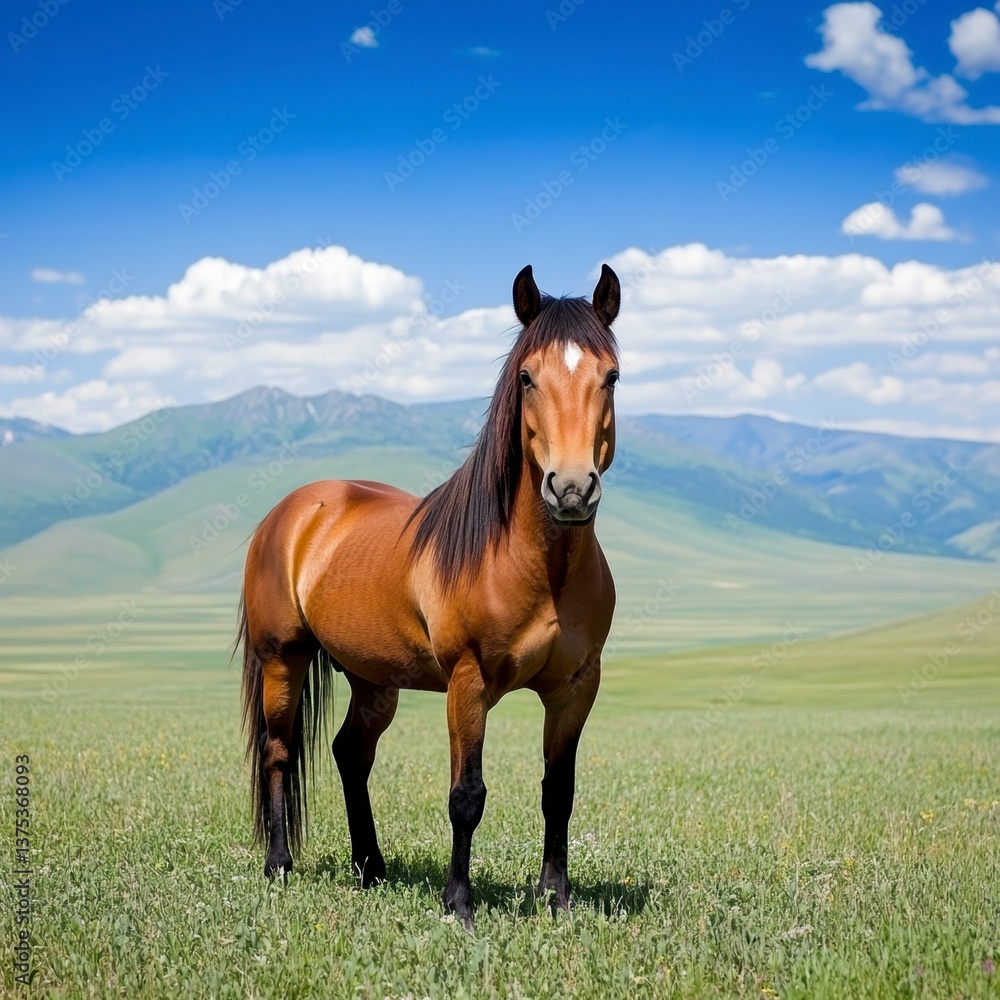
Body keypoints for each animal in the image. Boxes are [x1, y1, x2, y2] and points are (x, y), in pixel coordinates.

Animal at [238, 263, 621, 927]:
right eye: (527, 377)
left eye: (612, 376)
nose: (571, 490)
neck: (537, 568)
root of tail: (289, 513)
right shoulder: (467, 683)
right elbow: (466, 795)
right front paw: (458, 904)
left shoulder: (576, 688)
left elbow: (559, 792)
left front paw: (555, 898)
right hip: (283, 660)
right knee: (280, 753)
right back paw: (279, 866)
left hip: (373, 678)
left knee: (350, 754)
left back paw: (371, 868)